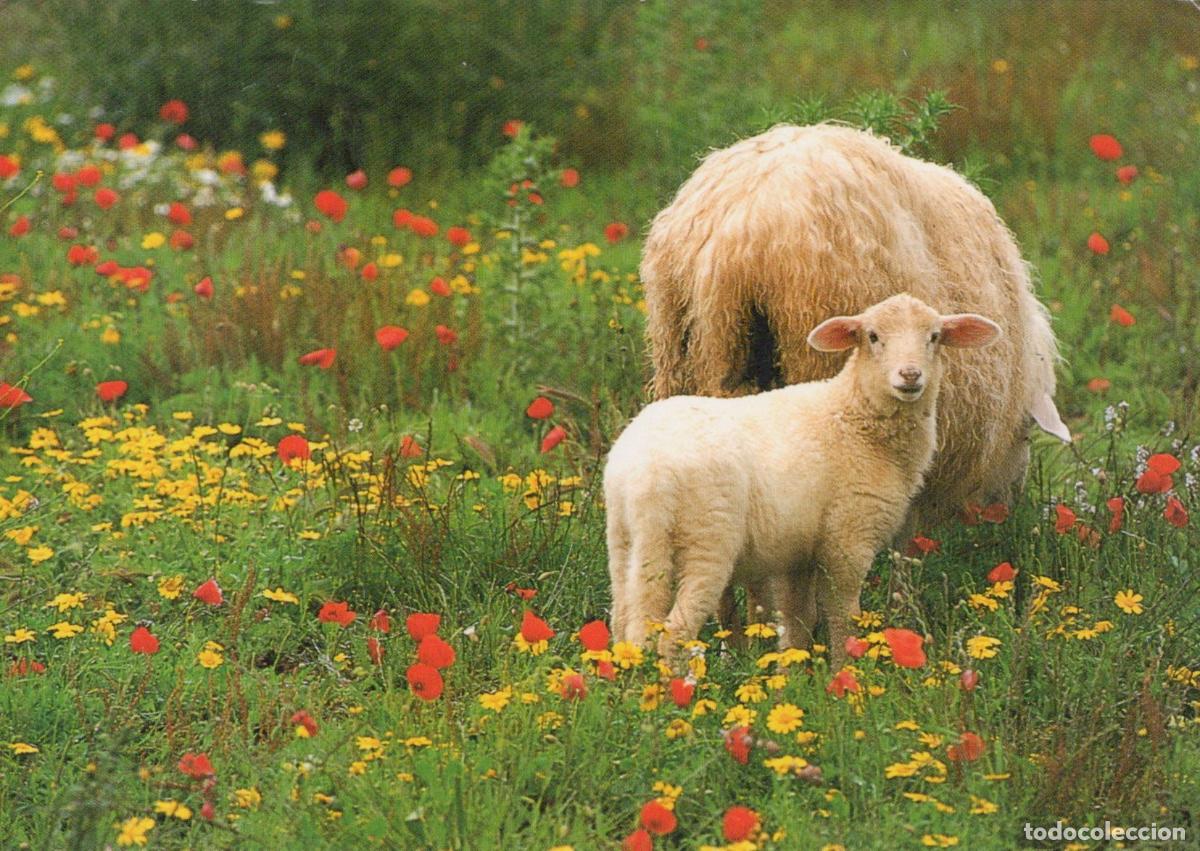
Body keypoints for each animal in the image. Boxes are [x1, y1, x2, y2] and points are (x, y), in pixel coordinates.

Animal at [604, 293, 1001, 669]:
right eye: (873, 336)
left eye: (934, 337)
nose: (910, 375)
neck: (854, 416)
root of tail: (645, 473)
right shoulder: (848, 537)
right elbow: (843, 616)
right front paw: (844, 675)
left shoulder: (796, 554)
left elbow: (797, 621)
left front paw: (793, 673)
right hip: (706, 539)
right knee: (674, 633)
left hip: (627, 540)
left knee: (626, 624)